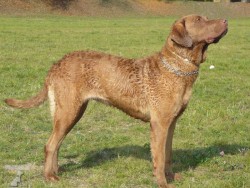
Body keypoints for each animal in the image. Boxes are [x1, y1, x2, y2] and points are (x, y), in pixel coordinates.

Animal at [4, 15, 228, 188]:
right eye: (199, 20)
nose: (226, 20)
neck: (178, 66)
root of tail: (56, 65)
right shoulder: (159, 124)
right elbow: (159, 156)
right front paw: (162, 183)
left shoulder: (171, 123)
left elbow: (168, 154)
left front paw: (171, 177)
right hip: (68, 111)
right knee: (50, 145)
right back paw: (49, 177)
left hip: (72, 113)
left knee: (56, 143)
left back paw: (55, 171)